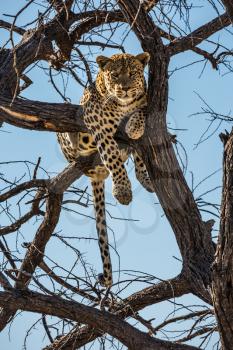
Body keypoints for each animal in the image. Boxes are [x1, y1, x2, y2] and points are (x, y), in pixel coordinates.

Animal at [57, 51, 153, 288]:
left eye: (133, 73)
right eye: (115, 75)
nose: (125, 88)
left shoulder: (146, 102)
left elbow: (142, 110)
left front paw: (134, 126)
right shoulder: (100, 127)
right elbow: (113, 158)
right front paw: (123, 191)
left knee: (137, 158)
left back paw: (145, 178)